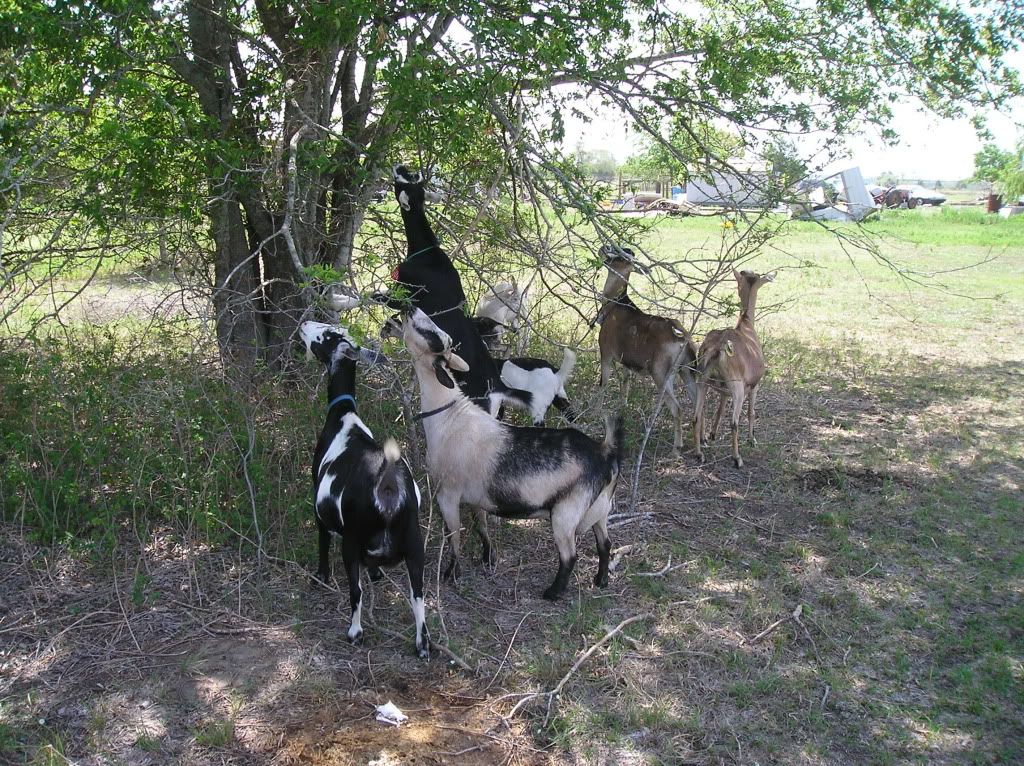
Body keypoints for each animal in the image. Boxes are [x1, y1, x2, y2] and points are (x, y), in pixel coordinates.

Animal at [299, 321, 429, 658]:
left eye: (326, 336)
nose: (304, 325)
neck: (344, 416)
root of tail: (388, 489)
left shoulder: (320, 509)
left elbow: (322, 542)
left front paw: (320, 577)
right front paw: (377, 574)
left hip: (352, 540)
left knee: (355, 591)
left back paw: (354, 632)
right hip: (415, 544)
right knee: (419, 595)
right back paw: (422, 644)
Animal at [374, 165, 534, 419]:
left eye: (402, 182)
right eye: (415, 178)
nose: (400, 167)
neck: (427, 253)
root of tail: (498, 389)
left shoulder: (404, 294)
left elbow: (381, 298)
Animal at [399, 308, 624, 600]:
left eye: (430, 334)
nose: (409, 309)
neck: (450, 417)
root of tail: (605, 452)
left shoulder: (447, 492)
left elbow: (454, 535)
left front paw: (451, 573)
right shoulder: (476, 494)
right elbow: (481, 524)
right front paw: (488, 558)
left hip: (567, 511)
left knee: (570, 556)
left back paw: (553, 593)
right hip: (601, 509)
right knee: (605, 543)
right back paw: (601, 580)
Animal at [594, 244, 698, 452]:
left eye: (622, 257)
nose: (605, 247)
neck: (614, 305)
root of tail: (682, 338)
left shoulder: (606, 351)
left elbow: (604, 383)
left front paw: (596, 411)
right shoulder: (626, 361)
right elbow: (625, 384)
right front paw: (623, 408)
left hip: (662, 372)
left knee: (677, 407)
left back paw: (677, 447)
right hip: (686, 370)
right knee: (698, 399)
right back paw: (703, 440)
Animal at [692, 269, 774, 468]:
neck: (747, 325)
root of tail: (716, 349)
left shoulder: (723, 390)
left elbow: (720, 408)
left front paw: (712, 434)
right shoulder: (754, 385)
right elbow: (751, 412)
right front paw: (752, 440)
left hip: (702, 380)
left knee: (697, 415)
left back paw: (699, 453)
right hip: (737, 387)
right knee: (734, 422)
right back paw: (737, 458)